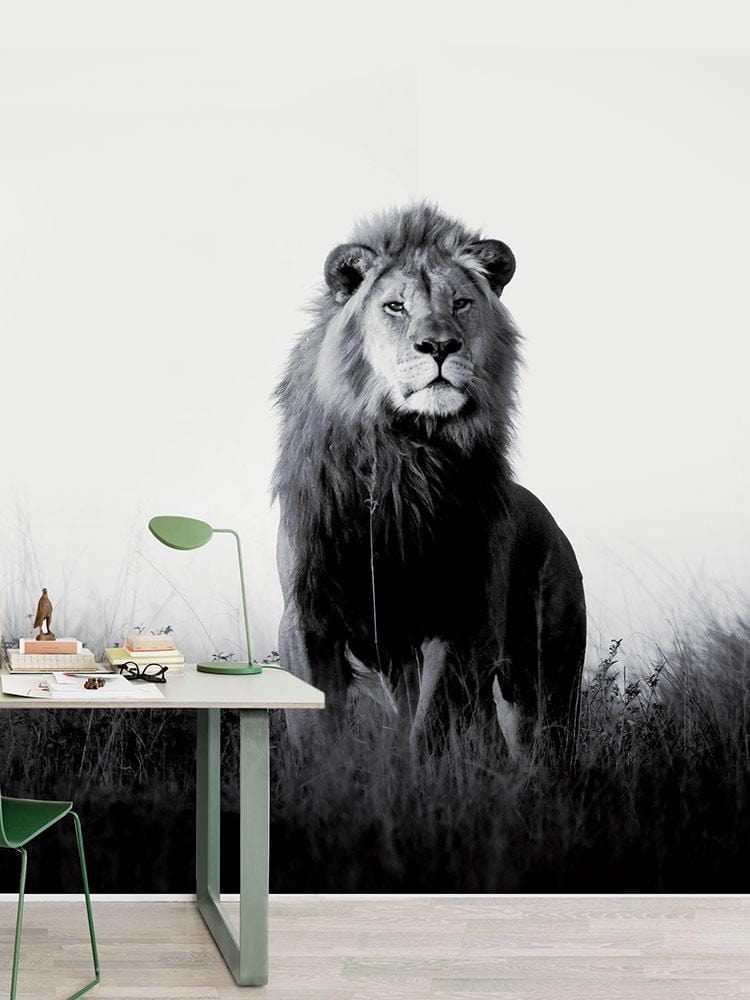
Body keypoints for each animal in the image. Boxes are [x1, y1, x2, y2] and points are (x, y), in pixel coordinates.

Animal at [273, 203, 586, 755]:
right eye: (395, 307)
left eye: (460, 303)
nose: (438, 345)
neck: (406, 452)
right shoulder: (309, 615)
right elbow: (316, 728)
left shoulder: (460, 615)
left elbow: (433, 724)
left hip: (547, 678)